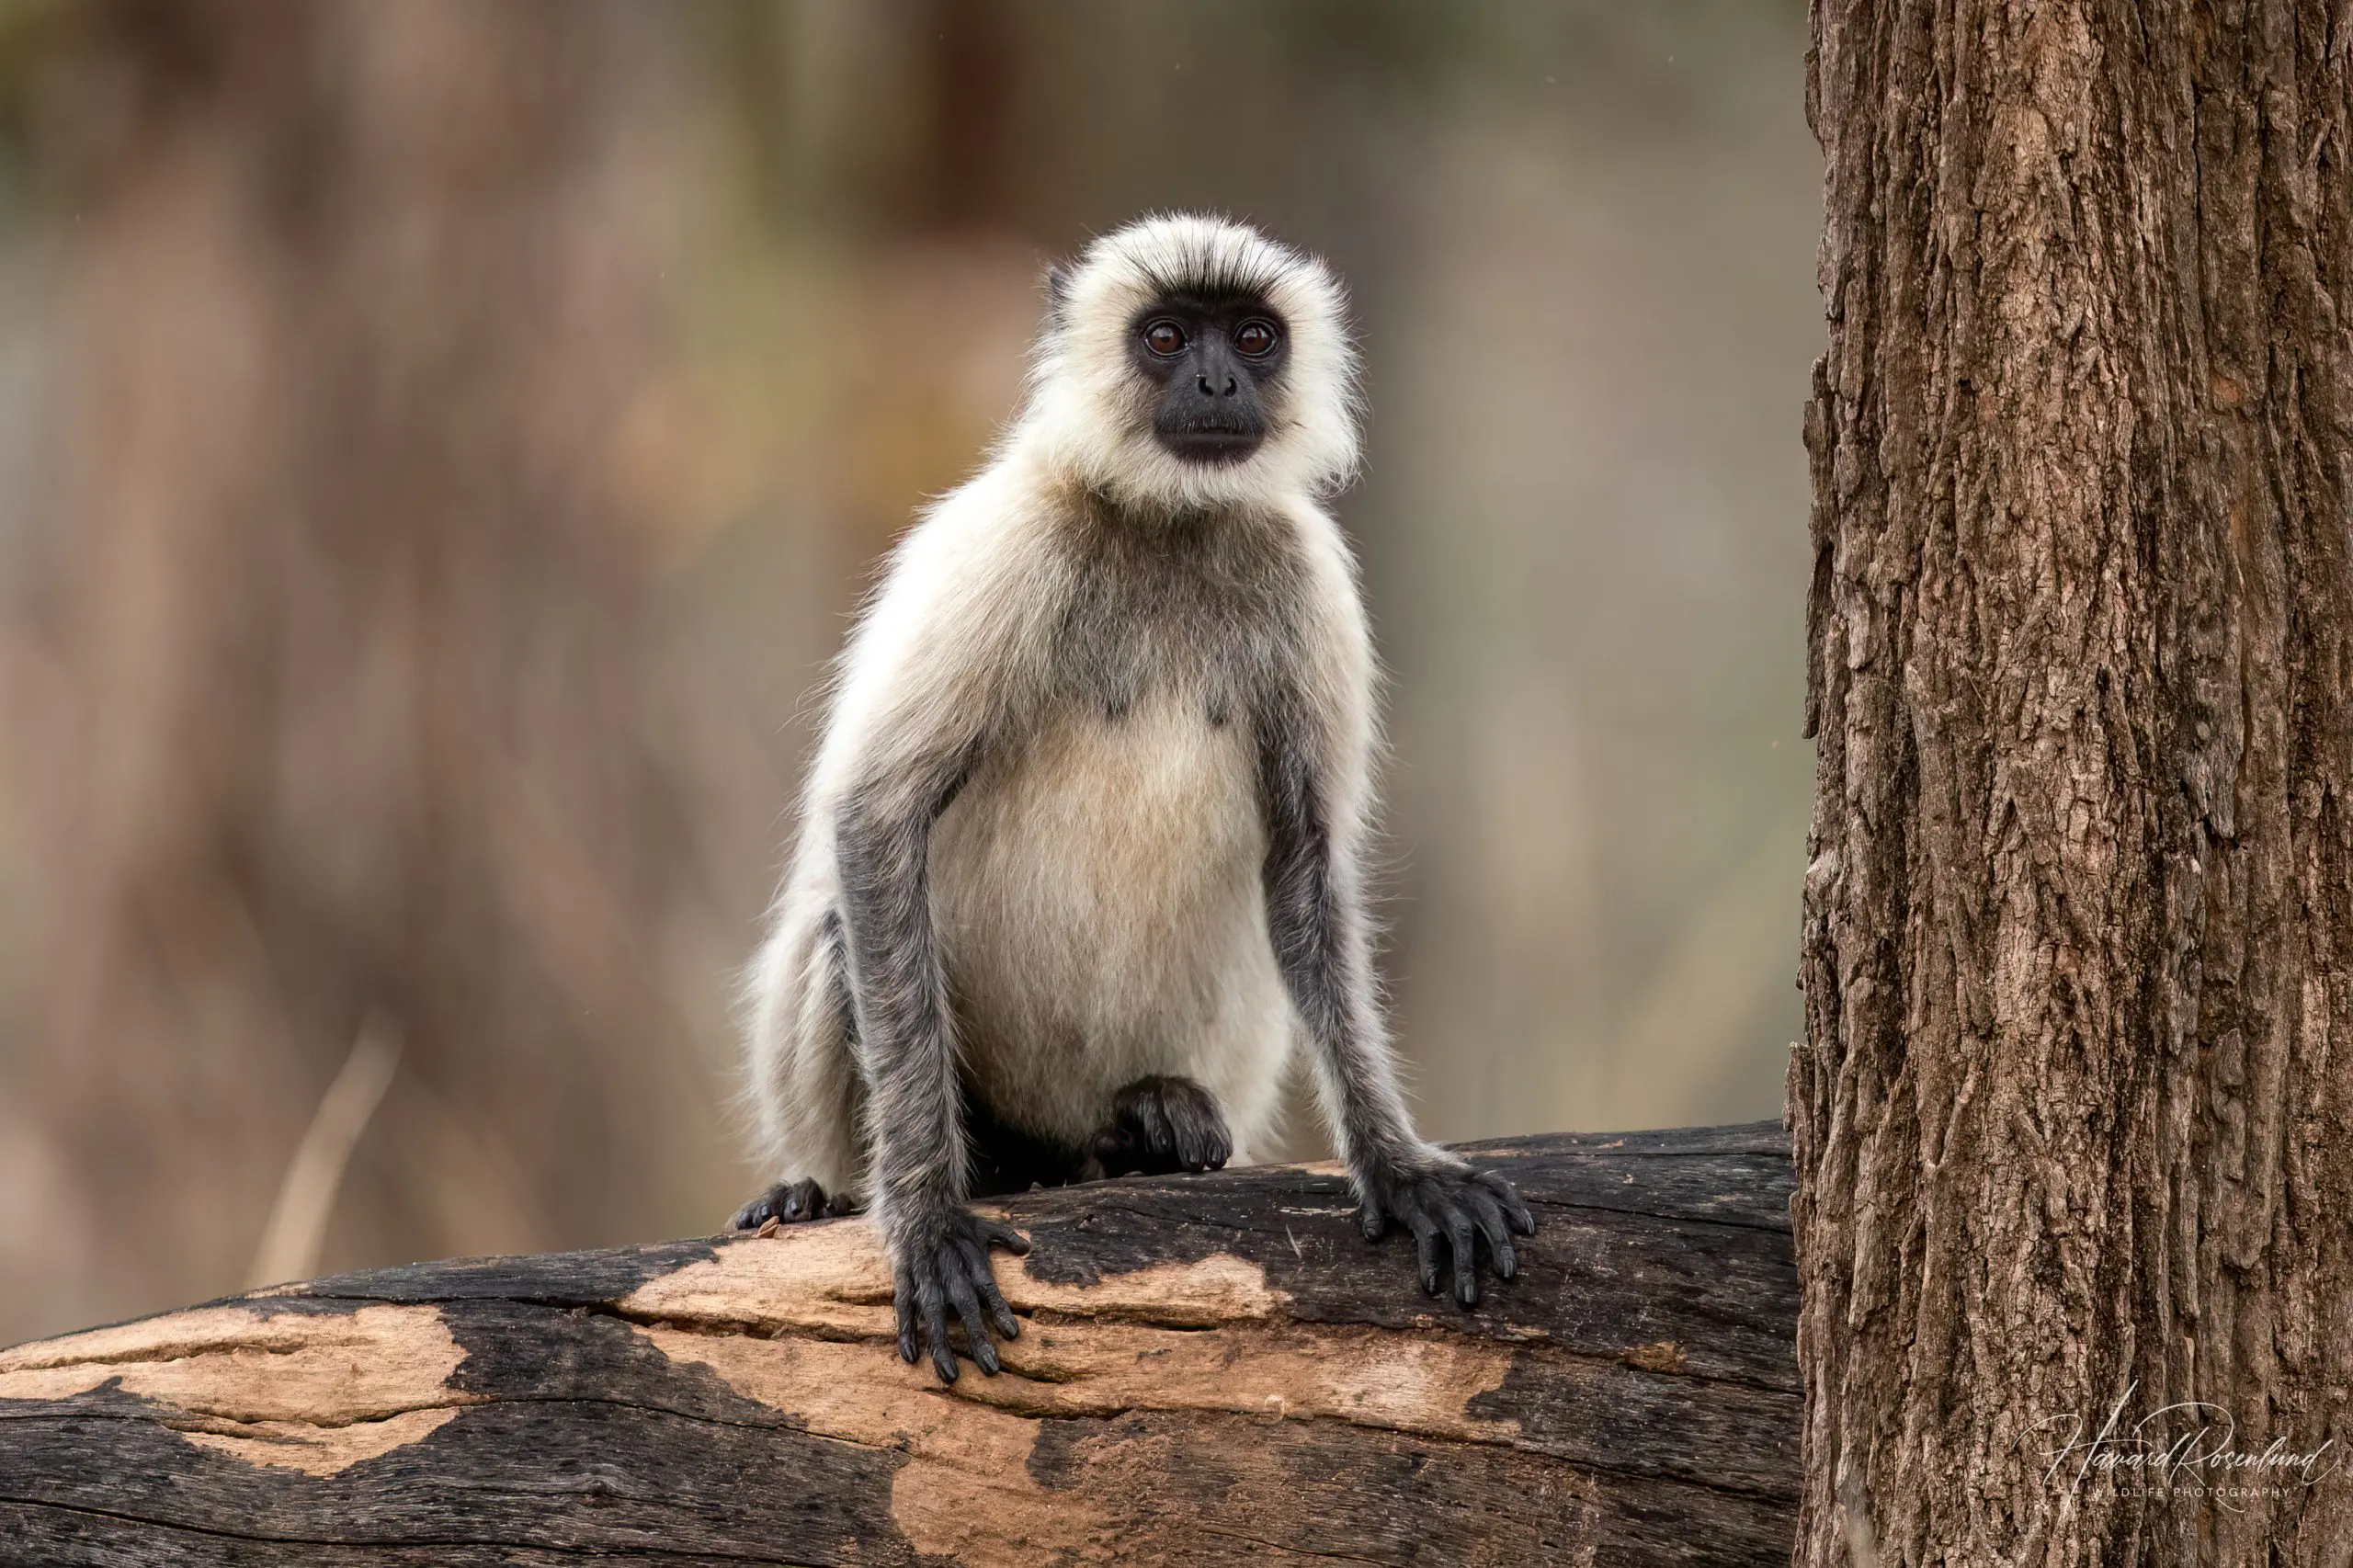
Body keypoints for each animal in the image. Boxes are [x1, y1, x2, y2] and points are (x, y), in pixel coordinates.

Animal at [738, 210, 1543, 1384]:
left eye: (1252, 336)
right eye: (1165, 336)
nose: (1214, 381)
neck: (1170, 522)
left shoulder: (1303, 570)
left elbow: (1303, 858)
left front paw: (1395, 1162)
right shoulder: (1007, 543)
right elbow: (877, 819)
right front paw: (926, 1214)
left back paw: (1153, 1125)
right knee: (842, 922)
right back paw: (844, 1185)